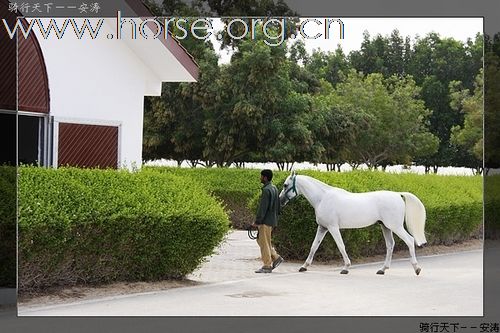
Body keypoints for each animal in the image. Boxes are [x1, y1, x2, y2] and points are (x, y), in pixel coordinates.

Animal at [278, 172, 426, 274]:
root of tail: (397, 194)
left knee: (409, 240)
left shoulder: (332, 227)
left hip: (395, 226)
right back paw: (382, 269)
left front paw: (346, 267)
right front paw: (304, 266)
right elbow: (314, 246)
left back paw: (416, 268)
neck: (322, 198)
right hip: (385, 227)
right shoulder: (322, 227)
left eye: (285, 185)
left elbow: (341, 245)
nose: (280, 201)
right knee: (390, 245)